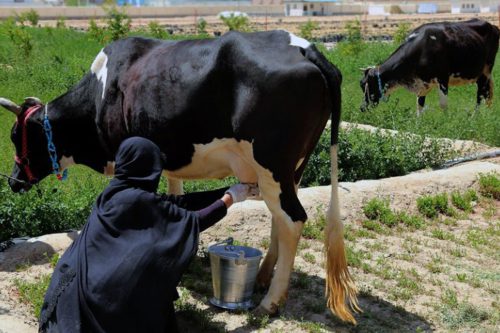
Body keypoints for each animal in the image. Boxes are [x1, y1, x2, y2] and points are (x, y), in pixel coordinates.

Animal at [0, 30, 360, 322]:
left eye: (16, 135)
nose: (13, 180)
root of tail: (304, 47)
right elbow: (176, 197)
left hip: (272, 162)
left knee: (292, 218)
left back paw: (270, 302)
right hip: (290, 168)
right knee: (280, 217)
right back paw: (261, 278)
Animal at [362, 18, 498, 114]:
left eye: (367, 85)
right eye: (362, 85)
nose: (362, 108)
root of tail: (493, 26)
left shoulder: (443, 77)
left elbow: (443, 104)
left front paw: (446, 121)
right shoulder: (423, 82)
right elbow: (419, 104)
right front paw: (418, 124)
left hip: (486, 70)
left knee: (481, 94)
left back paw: (476, 116)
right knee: (486, 94)